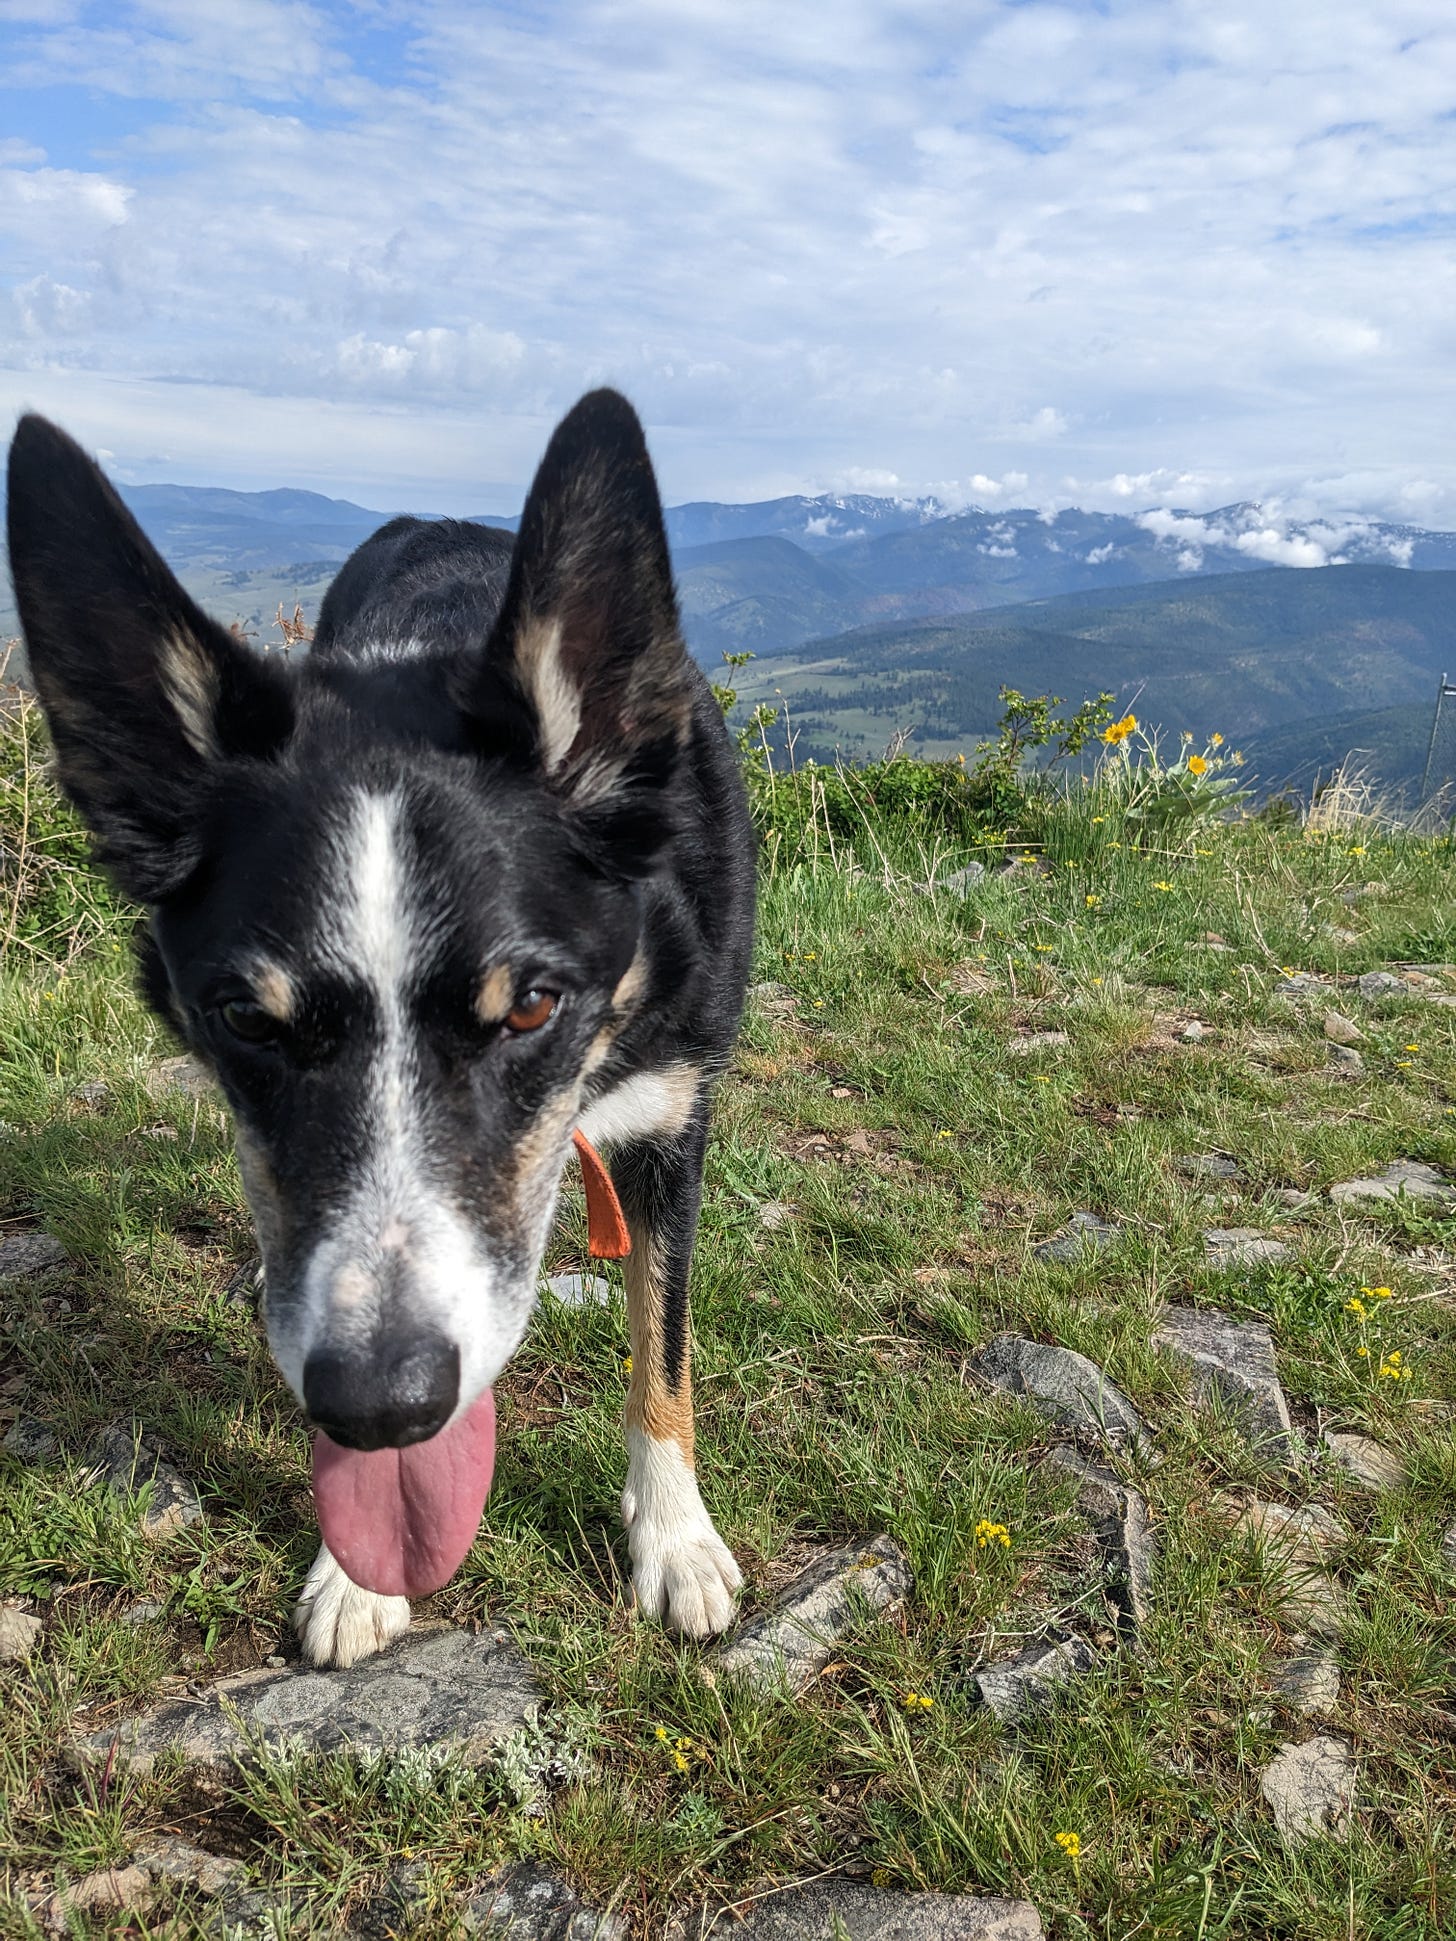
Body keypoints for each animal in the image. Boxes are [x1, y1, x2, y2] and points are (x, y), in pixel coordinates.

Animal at [8, 390, 764, 1669]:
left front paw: (675, 1542)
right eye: (244, 1021)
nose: (380, 1405)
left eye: (532, 1007)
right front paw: (355, 1575)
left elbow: (662, 1346)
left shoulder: (676, 1118)